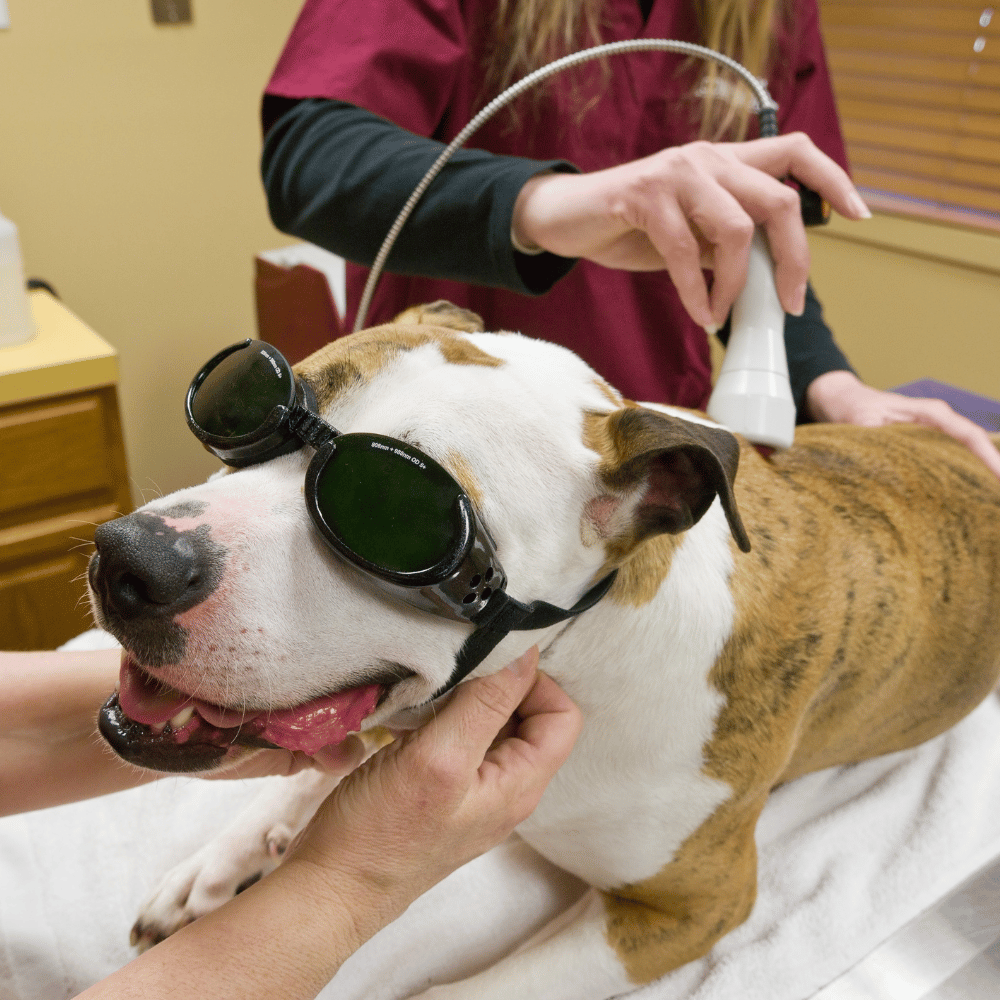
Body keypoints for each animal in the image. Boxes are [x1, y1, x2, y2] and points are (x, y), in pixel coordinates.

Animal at [88, 300, 1000, 996]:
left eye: (392, 509)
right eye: (247, 406)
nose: (131, 560)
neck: (584, 649)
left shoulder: (691, 909)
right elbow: (313, 776)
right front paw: (218, 862)